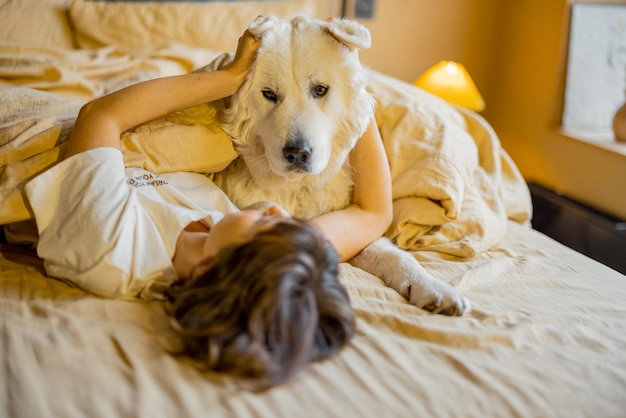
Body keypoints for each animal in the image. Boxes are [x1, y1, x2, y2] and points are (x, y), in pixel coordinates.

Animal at [213, 14, 468, 316]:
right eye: (269, 94)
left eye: (320, 90)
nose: (297, 154)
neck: (298, 189)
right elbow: (260, 207)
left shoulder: (358, 227)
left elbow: (395, 256)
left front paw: (432, 287)